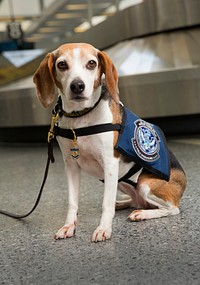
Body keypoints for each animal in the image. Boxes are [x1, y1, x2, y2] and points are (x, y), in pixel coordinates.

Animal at [33, 42, 187, 242]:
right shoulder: (71, 166)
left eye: (91, 63)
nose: (77, 86)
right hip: (121, 183)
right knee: (135, 201)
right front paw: (69, 227)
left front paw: (103, 228)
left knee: (171, 208)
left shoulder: (110, 164)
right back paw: (123, 203)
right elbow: (73, 202)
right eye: (62, 65)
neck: (81, 117)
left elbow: (106, 205)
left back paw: (142, 213)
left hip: (145, 185)